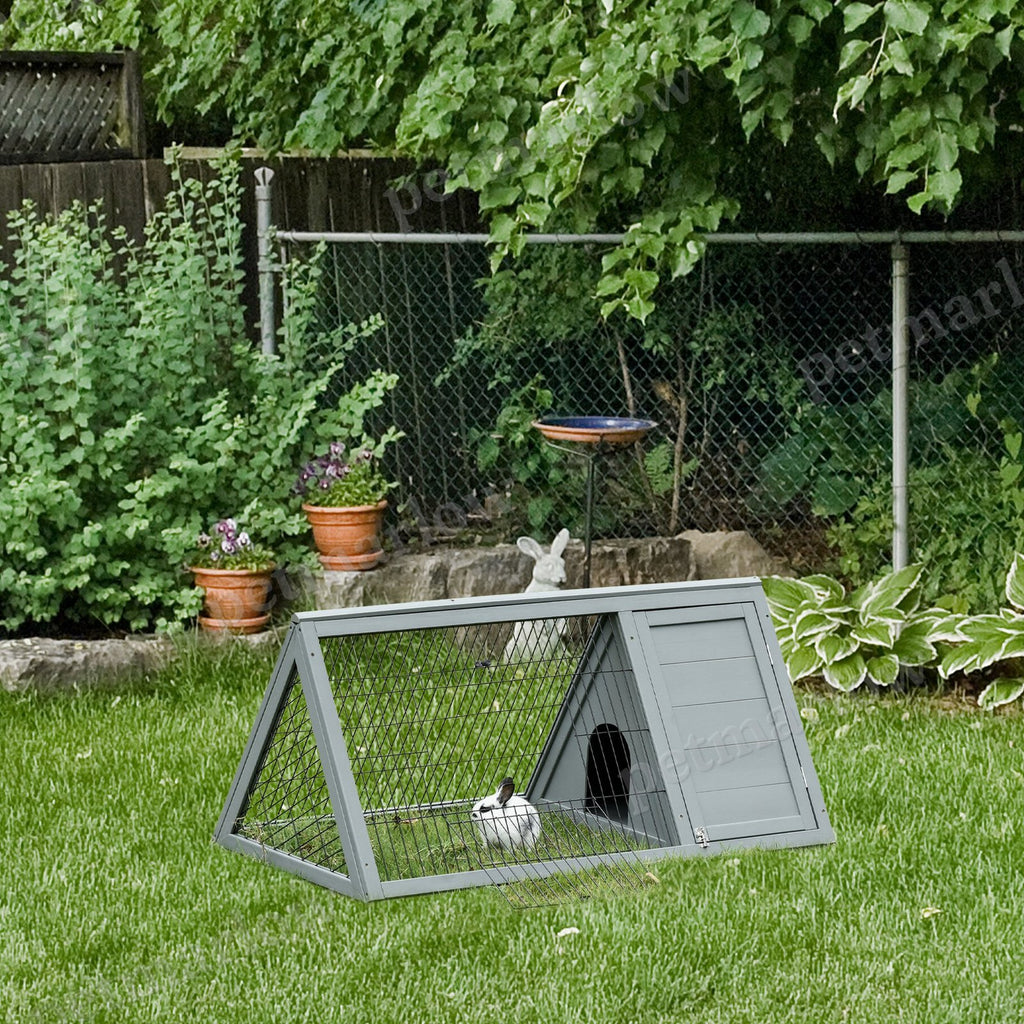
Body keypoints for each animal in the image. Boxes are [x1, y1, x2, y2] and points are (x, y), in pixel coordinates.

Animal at [503, 529, 570, 662]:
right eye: (548, 565)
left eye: (563, 564)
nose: (562, 578)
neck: (548, 586)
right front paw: (544, 630)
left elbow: (564, 619)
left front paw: (562, 630)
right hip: (512, 646)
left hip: (561, 648)